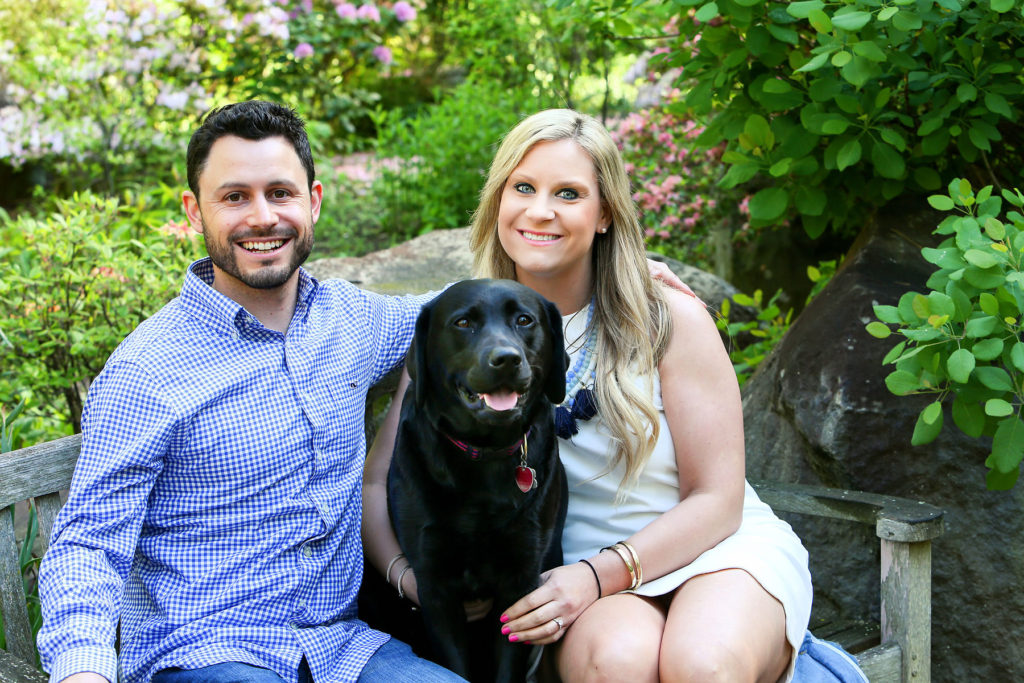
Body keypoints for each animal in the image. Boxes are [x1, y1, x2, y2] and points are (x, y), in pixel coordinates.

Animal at [387, 278, 573, 683]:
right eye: (463, 323)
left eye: (524, 319)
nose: (506, 359)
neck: (485, 451)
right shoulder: (435, 585)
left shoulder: (520, 583)